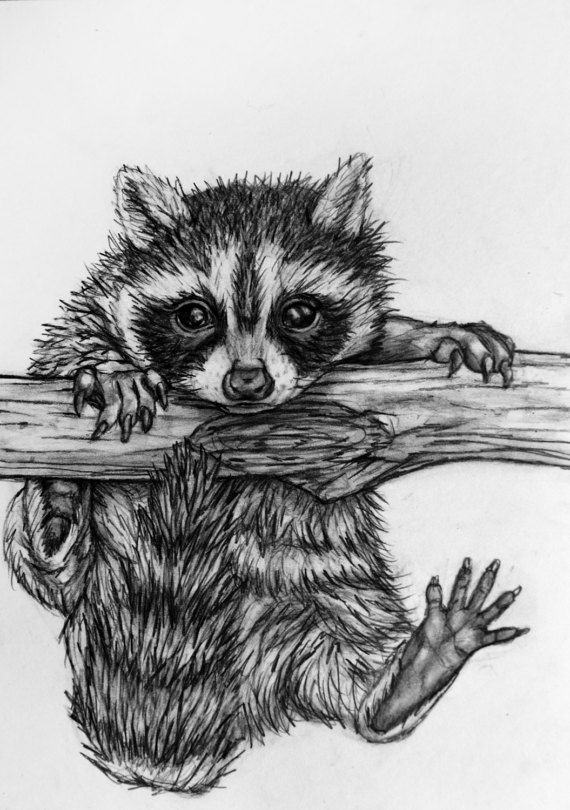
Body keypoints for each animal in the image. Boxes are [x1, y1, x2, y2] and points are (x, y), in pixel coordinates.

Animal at [3, 155, 525, 794]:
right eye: (193, 315)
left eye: (298, 313)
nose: (247, 382)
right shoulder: (91, 309)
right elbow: (67, 347)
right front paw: (108, 370)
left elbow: (377, 338)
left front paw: (424, 332)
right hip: (87, 576)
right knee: (45, 564)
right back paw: (59, 503)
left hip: (327, 590)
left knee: (344, 649)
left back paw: (397, 685)